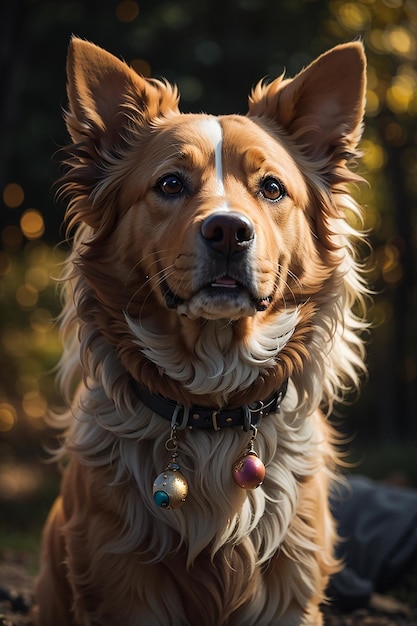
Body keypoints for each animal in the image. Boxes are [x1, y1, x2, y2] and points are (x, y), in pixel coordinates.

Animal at [33, 39, 368, 624]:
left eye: (272, 188)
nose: (229, 230)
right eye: (170, 184)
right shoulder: (122, 584)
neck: (215, 405)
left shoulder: (290, 589)